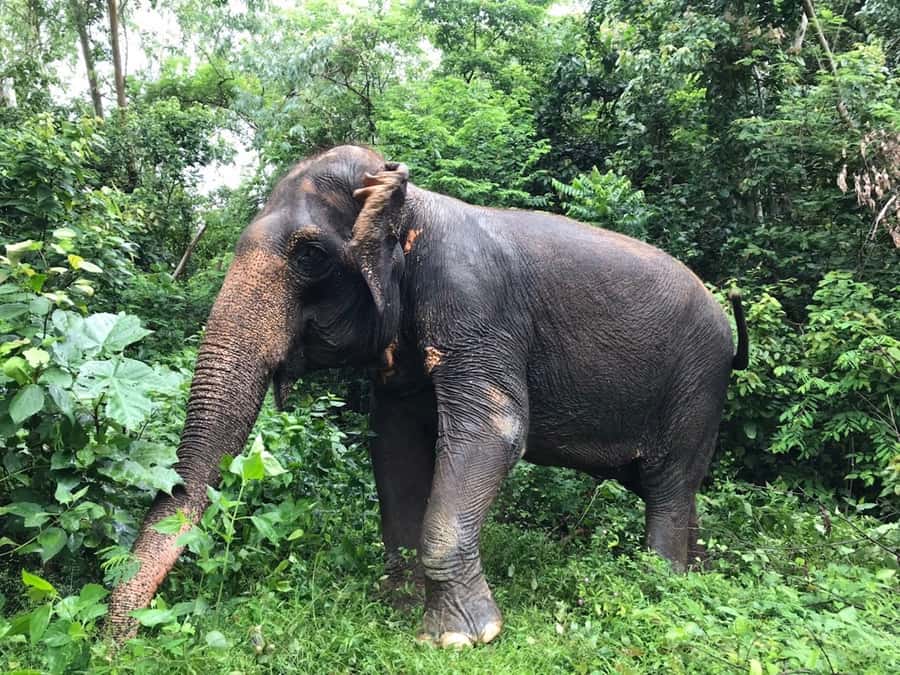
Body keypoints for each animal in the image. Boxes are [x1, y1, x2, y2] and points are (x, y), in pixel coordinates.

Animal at [107, 145, 749, 647]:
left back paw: (660, 581)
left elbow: (493, 429)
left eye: (309, 255)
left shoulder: (475, 303)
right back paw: (694, 570)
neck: (411, 199)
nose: (117, 646)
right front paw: (400, 601)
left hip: (697, 383)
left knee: (668, 482)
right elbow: (394, 444)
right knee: (668, 484)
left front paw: (462, 636)